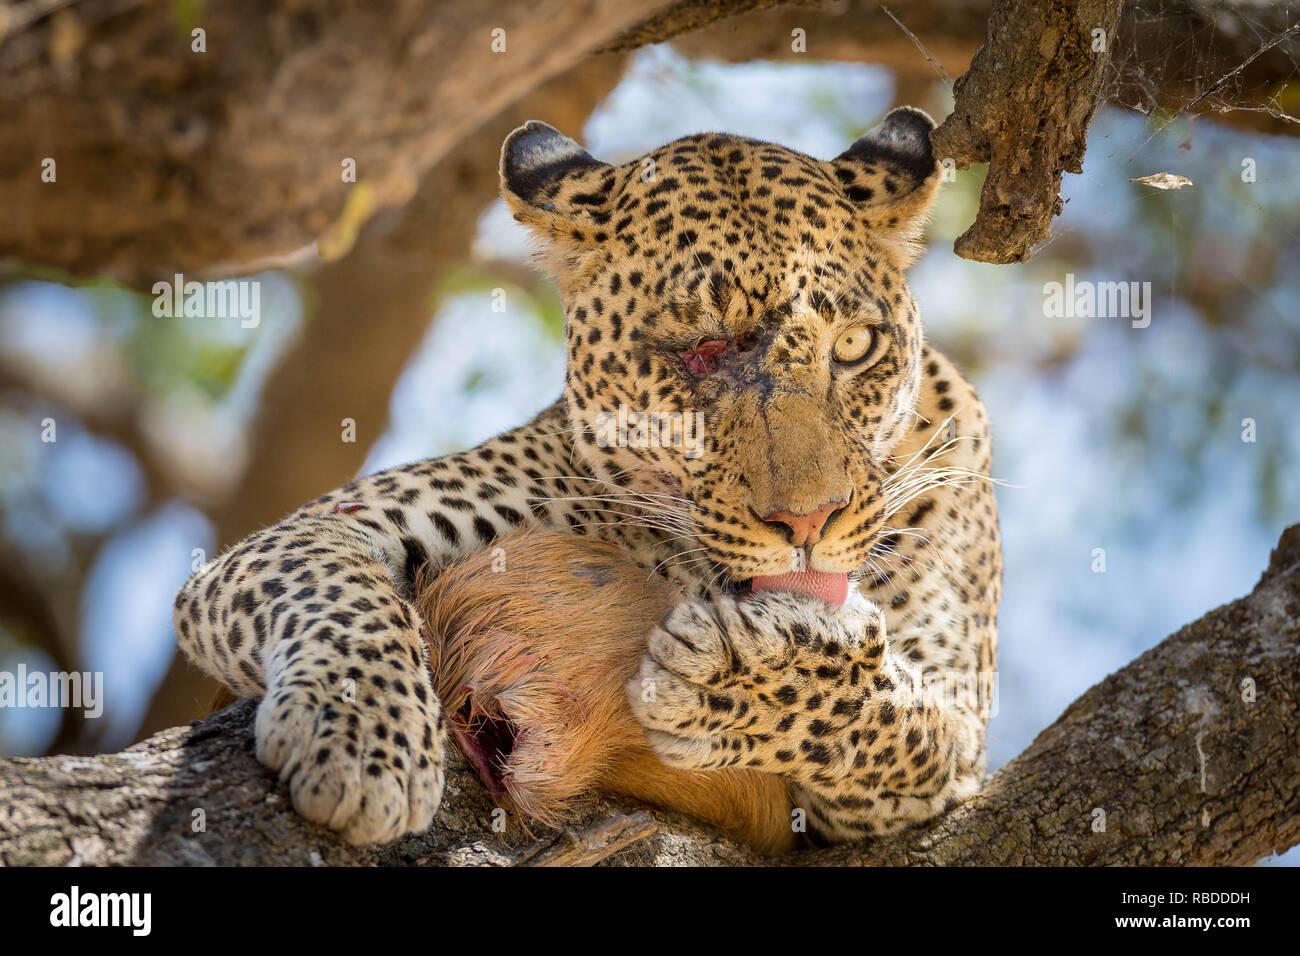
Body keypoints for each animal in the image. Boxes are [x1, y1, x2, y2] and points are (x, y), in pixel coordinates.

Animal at [172, 108, 998, 848]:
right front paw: (360, 738)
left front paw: (727, 672)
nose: (808, 523)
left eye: (854, 346)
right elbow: (334, 586)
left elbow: (895, 714)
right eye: (698, 352)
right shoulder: (317, 528)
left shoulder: (954, 732)